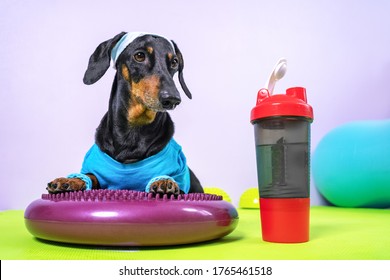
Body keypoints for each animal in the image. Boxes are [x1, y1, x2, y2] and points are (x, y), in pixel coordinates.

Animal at [47, 31, 203, 195]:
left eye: (174, 62)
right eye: (139, 55)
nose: (173, 98)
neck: (132, 132)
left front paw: (166, 181)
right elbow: (90, 176)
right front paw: (69, 181)